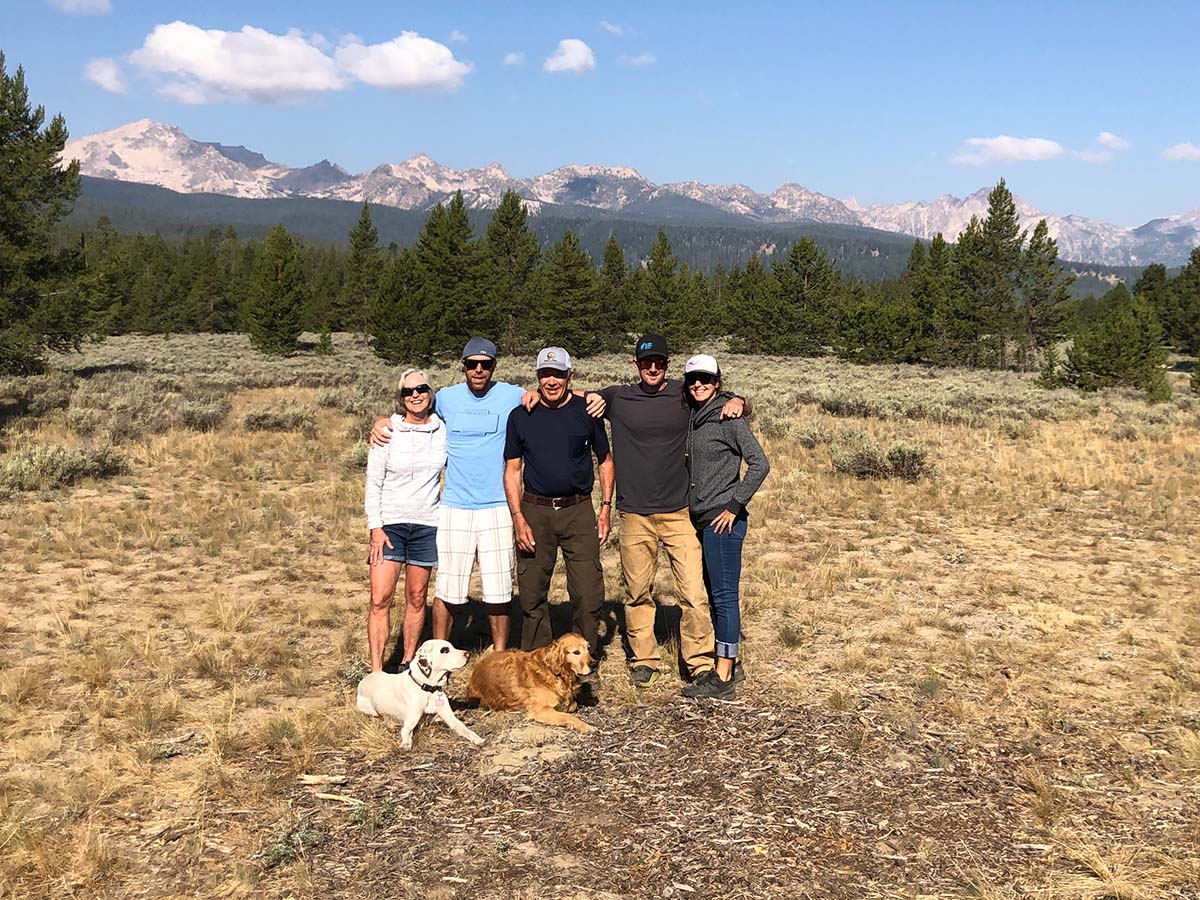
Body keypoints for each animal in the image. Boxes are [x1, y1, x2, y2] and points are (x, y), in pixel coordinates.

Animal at [352, 643, 484, 753]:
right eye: (444, 650)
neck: (428, 689)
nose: (468, 654)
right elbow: (406, 732)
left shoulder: (449, 717)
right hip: (368, 708)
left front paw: (478, 739)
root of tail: (365, 679)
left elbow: (464, 729)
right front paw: (405, 744)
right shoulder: (412, 719)